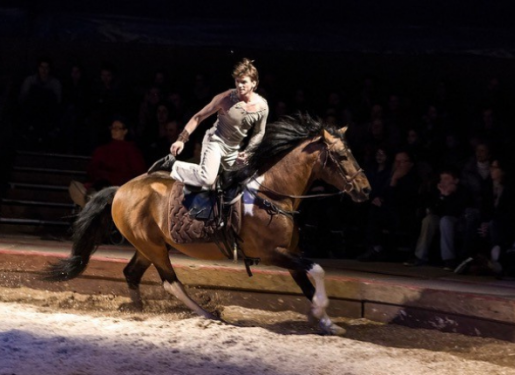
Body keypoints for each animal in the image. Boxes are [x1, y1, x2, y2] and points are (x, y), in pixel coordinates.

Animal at [42, 114, 368, 334]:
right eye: (341, 155)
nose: (365, 190)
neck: (270, 193)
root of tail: (121, 188)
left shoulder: (290, 253)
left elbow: (308, 282)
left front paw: (326, 322)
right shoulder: (272, 253)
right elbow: (318, 270)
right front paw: (321, 311)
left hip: (147, 246)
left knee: (132, 273)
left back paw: (138, 307)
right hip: (154, 248)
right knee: (170, 282)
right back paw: (208, 314)